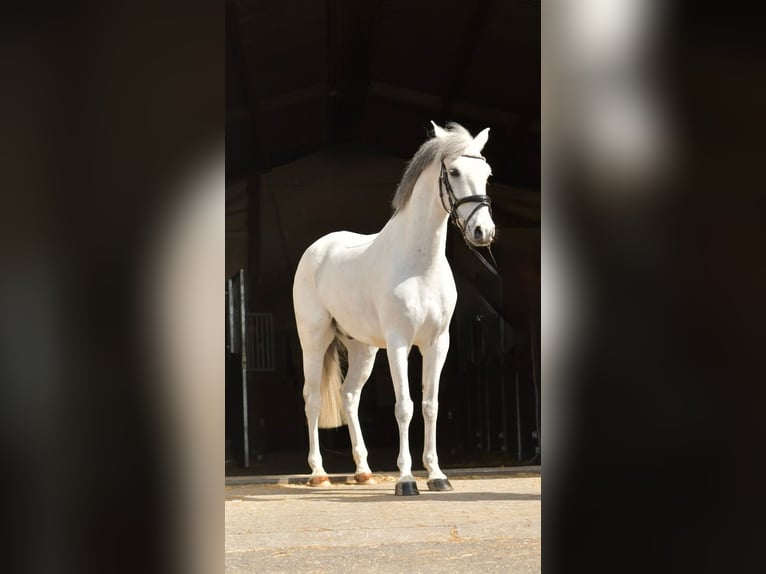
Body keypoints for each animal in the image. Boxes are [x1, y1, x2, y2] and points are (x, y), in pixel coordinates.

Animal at [292, 121, 495, 495]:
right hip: (314, 341)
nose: (482, 231)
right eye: (455, 172)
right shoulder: (399, 343)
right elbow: (404, 407)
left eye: (487, 173)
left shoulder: (437, 344)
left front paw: (437, 476)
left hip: (363, 348)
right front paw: (406, 480)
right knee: (312, 398)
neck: (419, 263)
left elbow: (430, 406)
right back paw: (319, 473)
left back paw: (363, 471)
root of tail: (318, 249)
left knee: (349, 396)